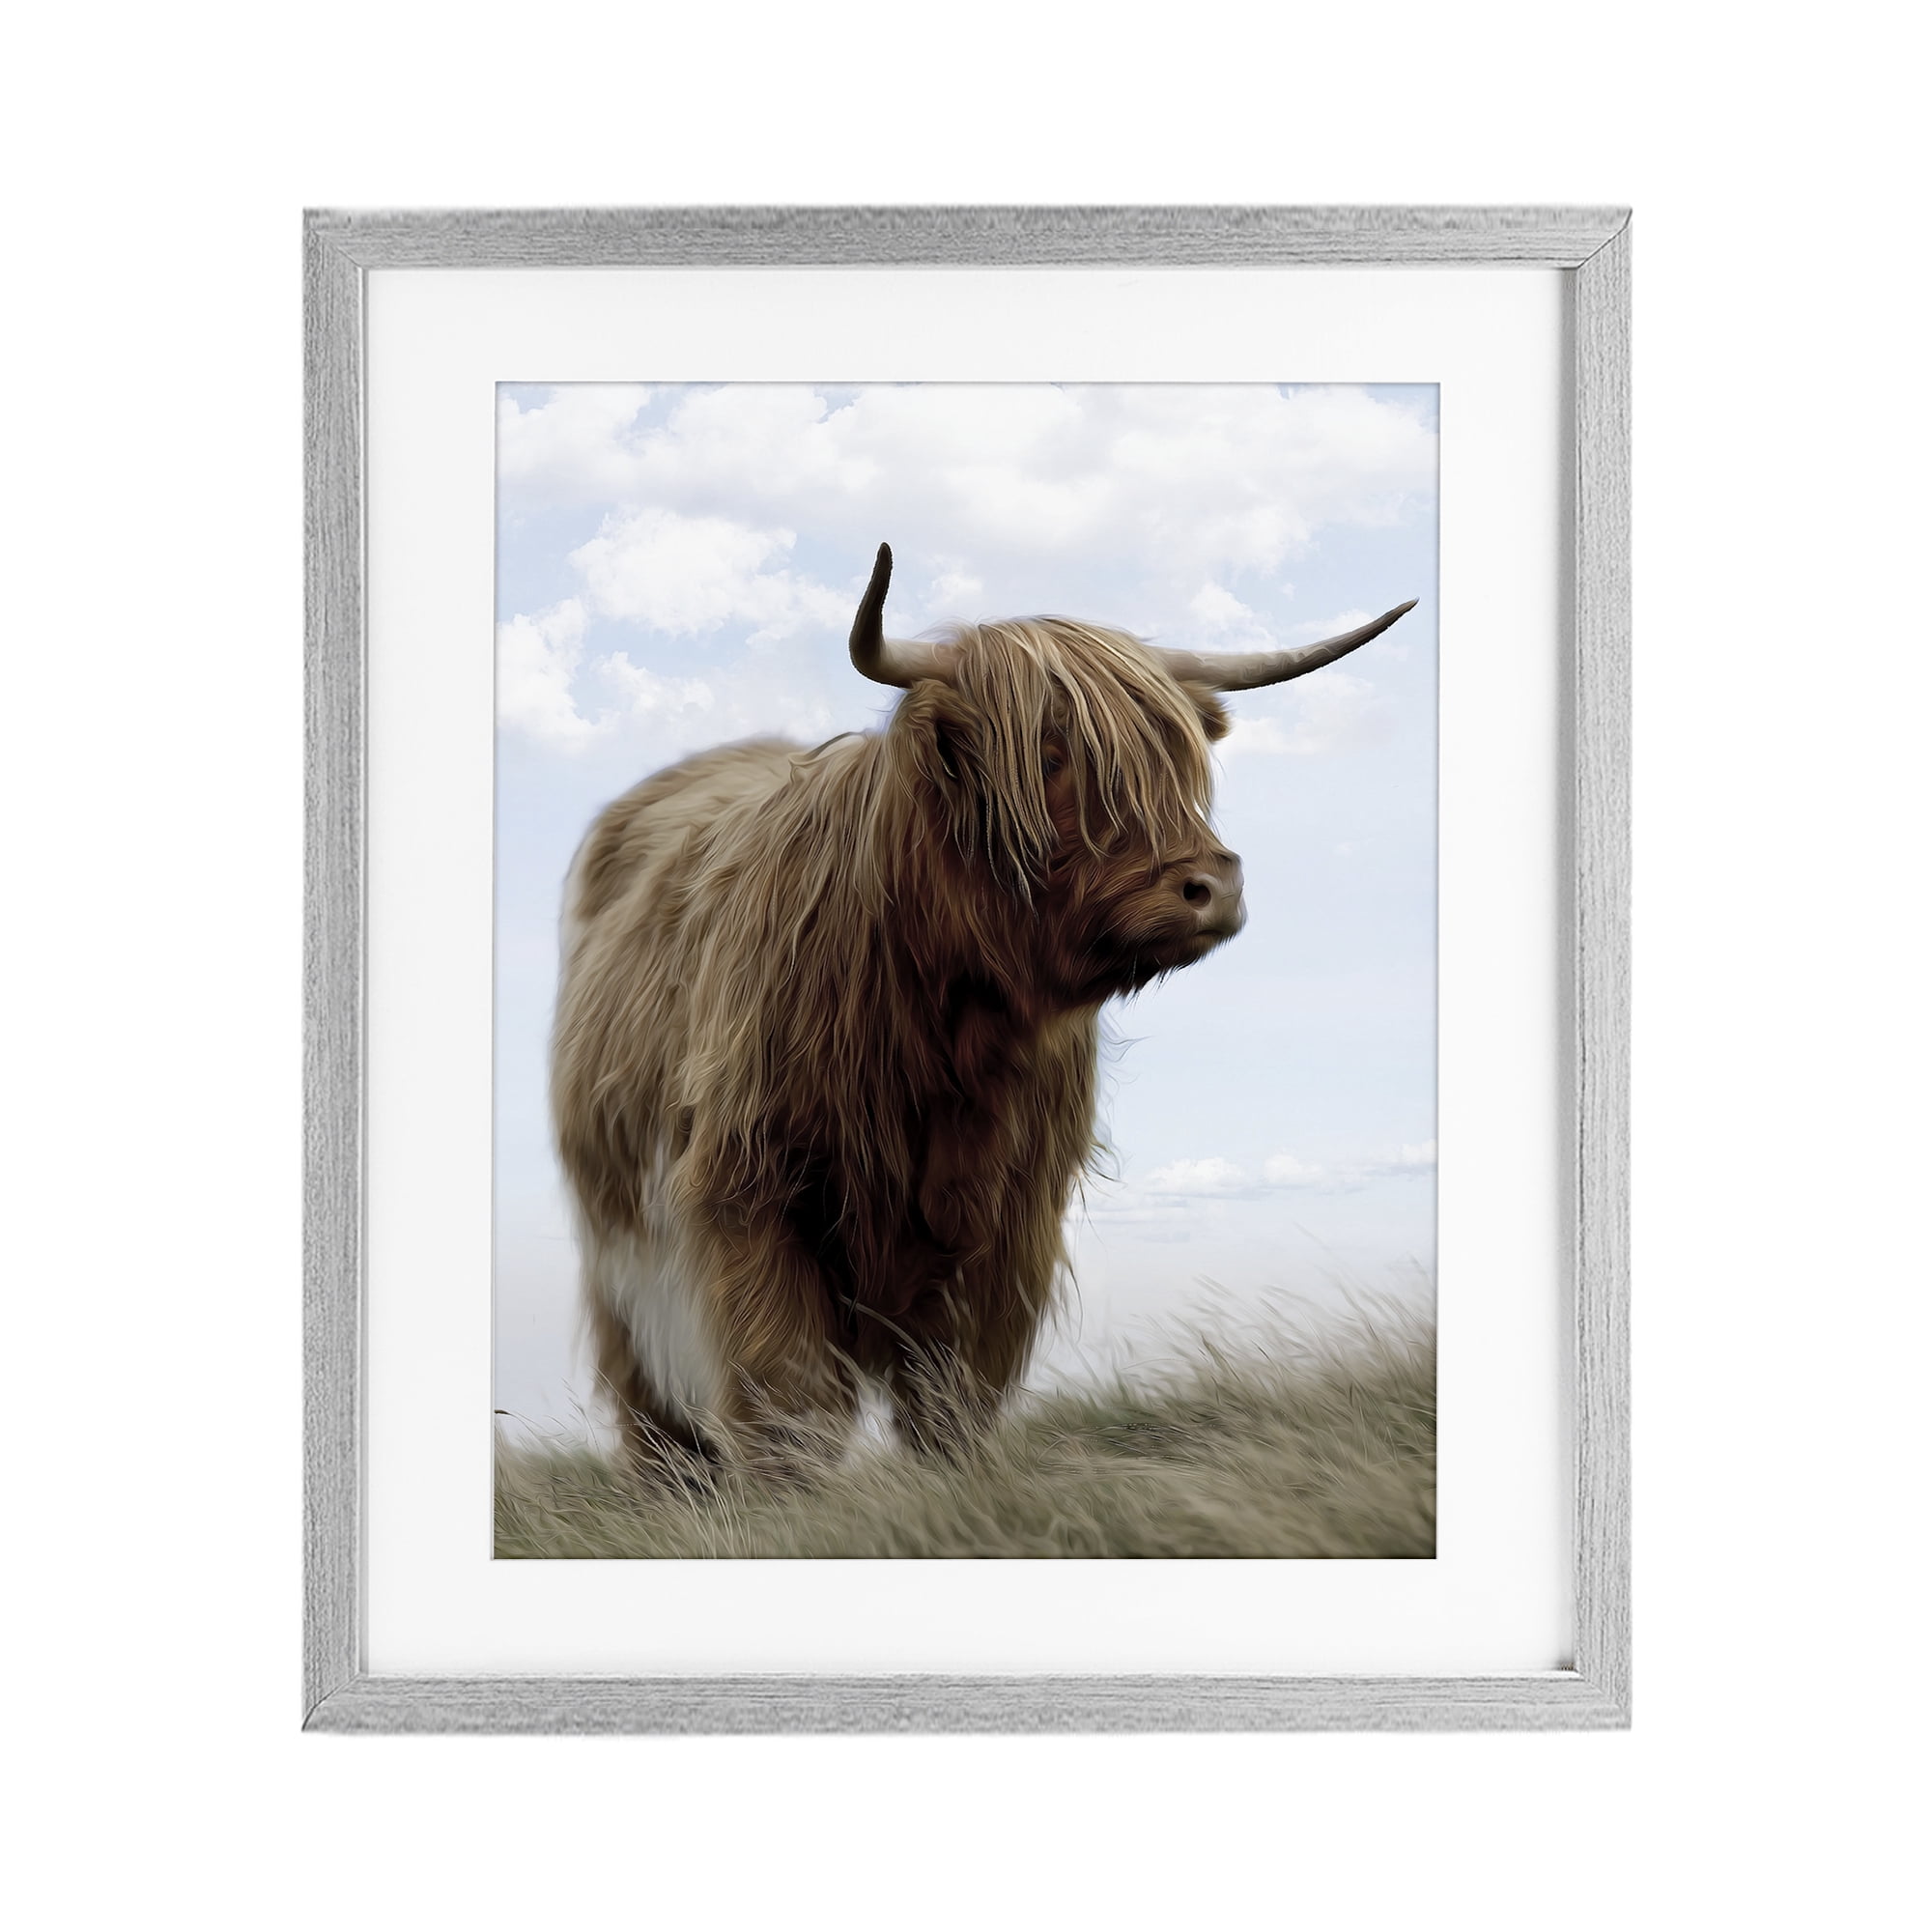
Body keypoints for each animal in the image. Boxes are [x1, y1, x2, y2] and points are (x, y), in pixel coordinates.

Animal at [552, 543, 1414, 1472]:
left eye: (1176, 760)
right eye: (1049, 753)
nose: (1213, 886)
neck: (947, 1028)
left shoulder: (1009, 1222)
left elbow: (953, 1394)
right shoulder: (749, 1188)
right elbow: (785, 1393)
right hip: (620, 1253)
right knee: (653, 1405)